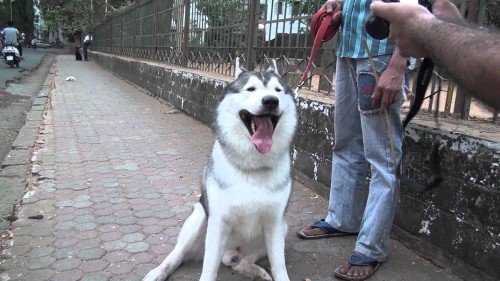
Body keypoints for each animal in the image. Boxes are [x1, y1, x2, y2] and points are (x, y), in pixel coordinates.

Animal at [143, 57, 296, 280]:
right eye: (251, 89)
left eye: (277, 90)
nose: (270, 101)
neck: (252, 166)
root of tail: (230, 253)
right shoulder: (218, 222)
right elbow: (208, 267)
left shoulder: (275, 222)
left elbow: (279, 266)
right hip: (199, 216)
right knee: (178, 254)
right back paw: (158, 272)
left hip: (283, 227)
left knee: (240, 263)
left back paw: (254, 270)